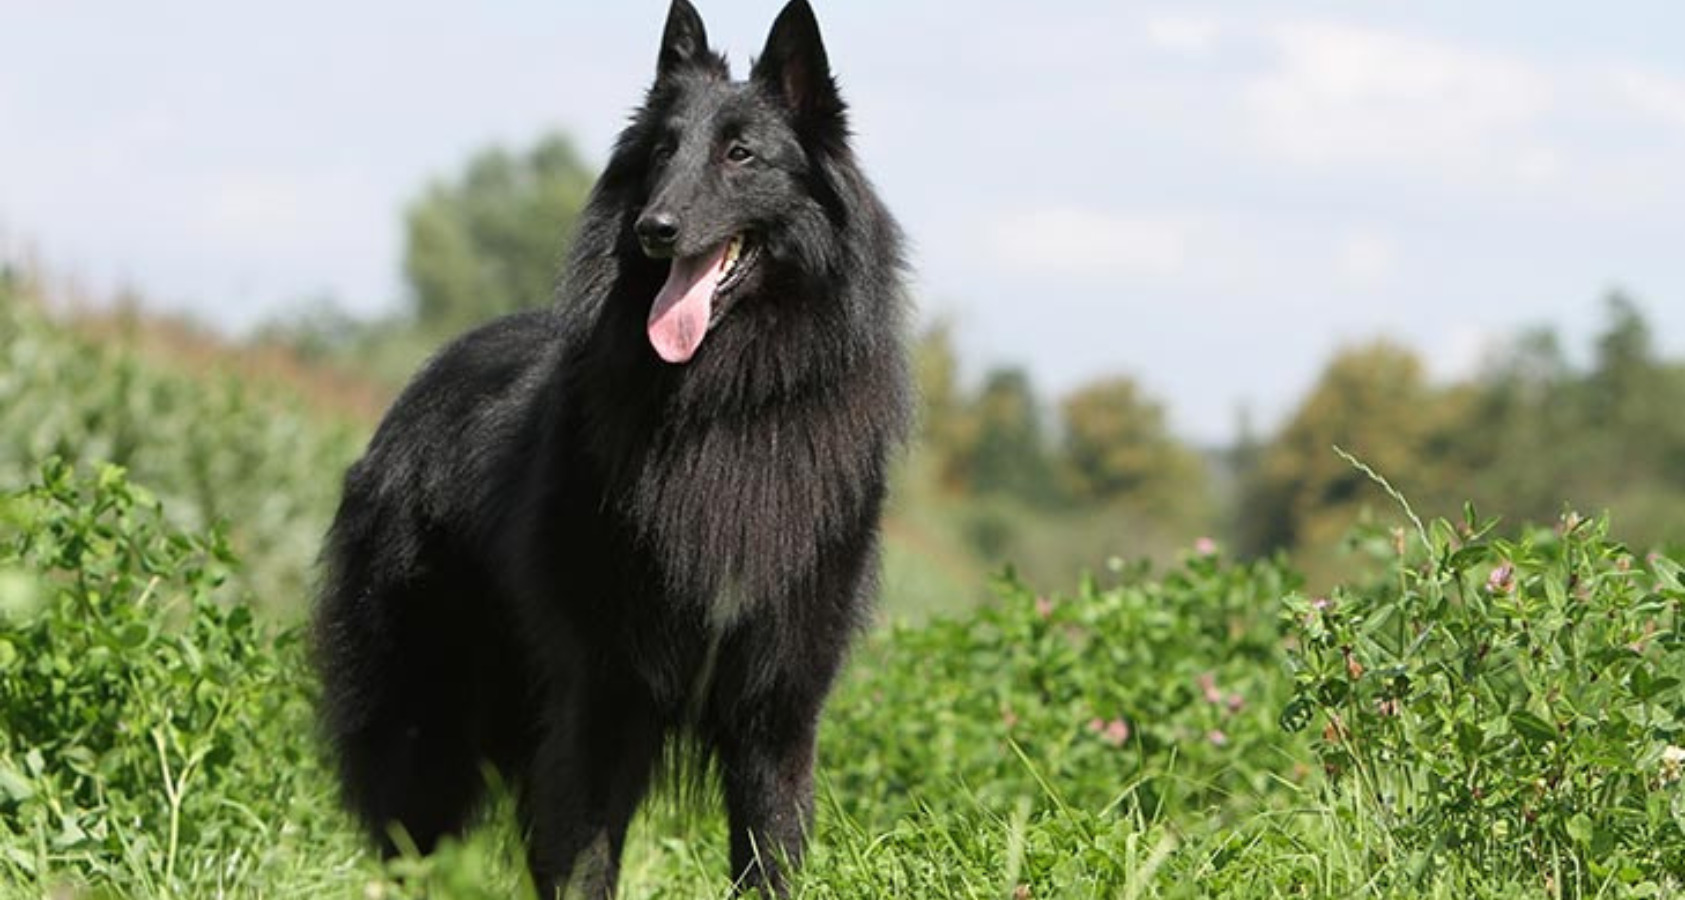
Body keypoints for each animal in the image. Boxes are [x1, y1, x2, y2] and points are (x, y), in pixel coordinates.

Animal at [308, 3, 903, 896]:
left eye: (740, 155)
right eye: (662, 151)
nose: (655, 229)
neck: (721, 408)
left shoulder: (777, 706)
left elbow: (766, 852)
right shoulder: (600, 696)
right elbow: (585, 858)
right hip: (425, 719)